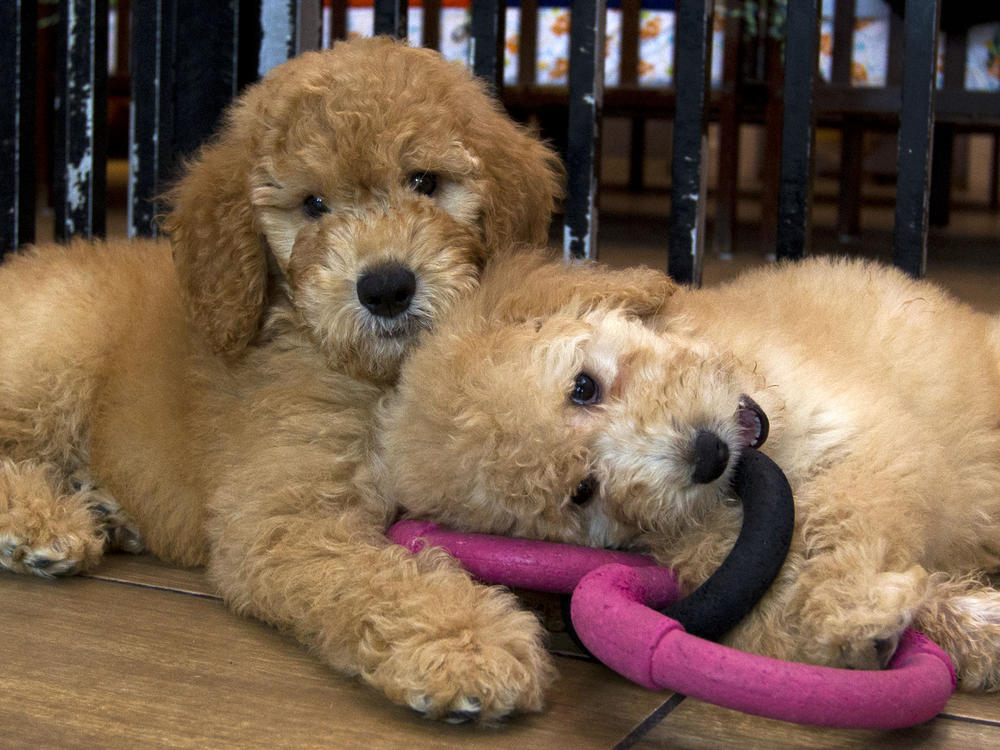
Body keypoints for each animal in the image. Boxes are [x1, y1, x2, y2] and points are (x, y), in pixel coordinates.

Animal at [0, 39, 564, 724]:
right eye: (313, 206)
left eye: (425, 183)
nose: (386, 288)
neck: (378, 376)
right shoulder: (285, 516)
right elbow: (374, 576)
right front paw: (465, 642)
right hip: (54, 358)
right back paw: (43, 521)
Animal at [378, 253, 1000, 692]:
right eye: (582, 492)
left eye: (583, 388)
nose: (708, 455)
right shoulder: (711, 551)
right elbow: (771, 592)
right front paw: (865, 626)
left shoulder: (870, 438)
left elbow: (845, 508)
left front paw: (857, 606)